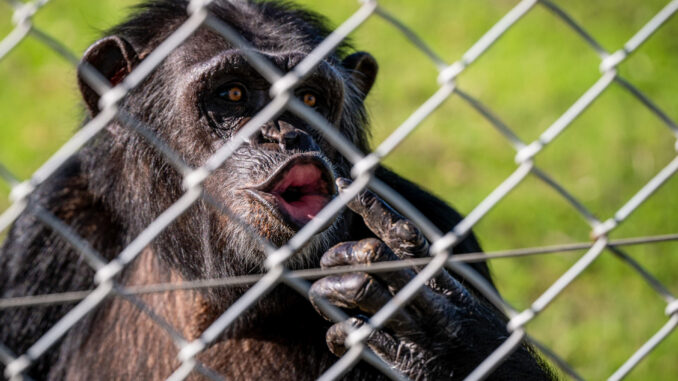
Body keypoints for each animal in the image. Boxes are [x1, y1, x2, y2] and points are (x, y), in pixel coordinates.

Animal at [0, 0, 552, 378]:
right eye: (233, 94)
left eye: (307, 98)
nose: (285, 132)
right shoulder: (49, 236)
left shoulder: (434, 222)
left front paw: (434, 326)